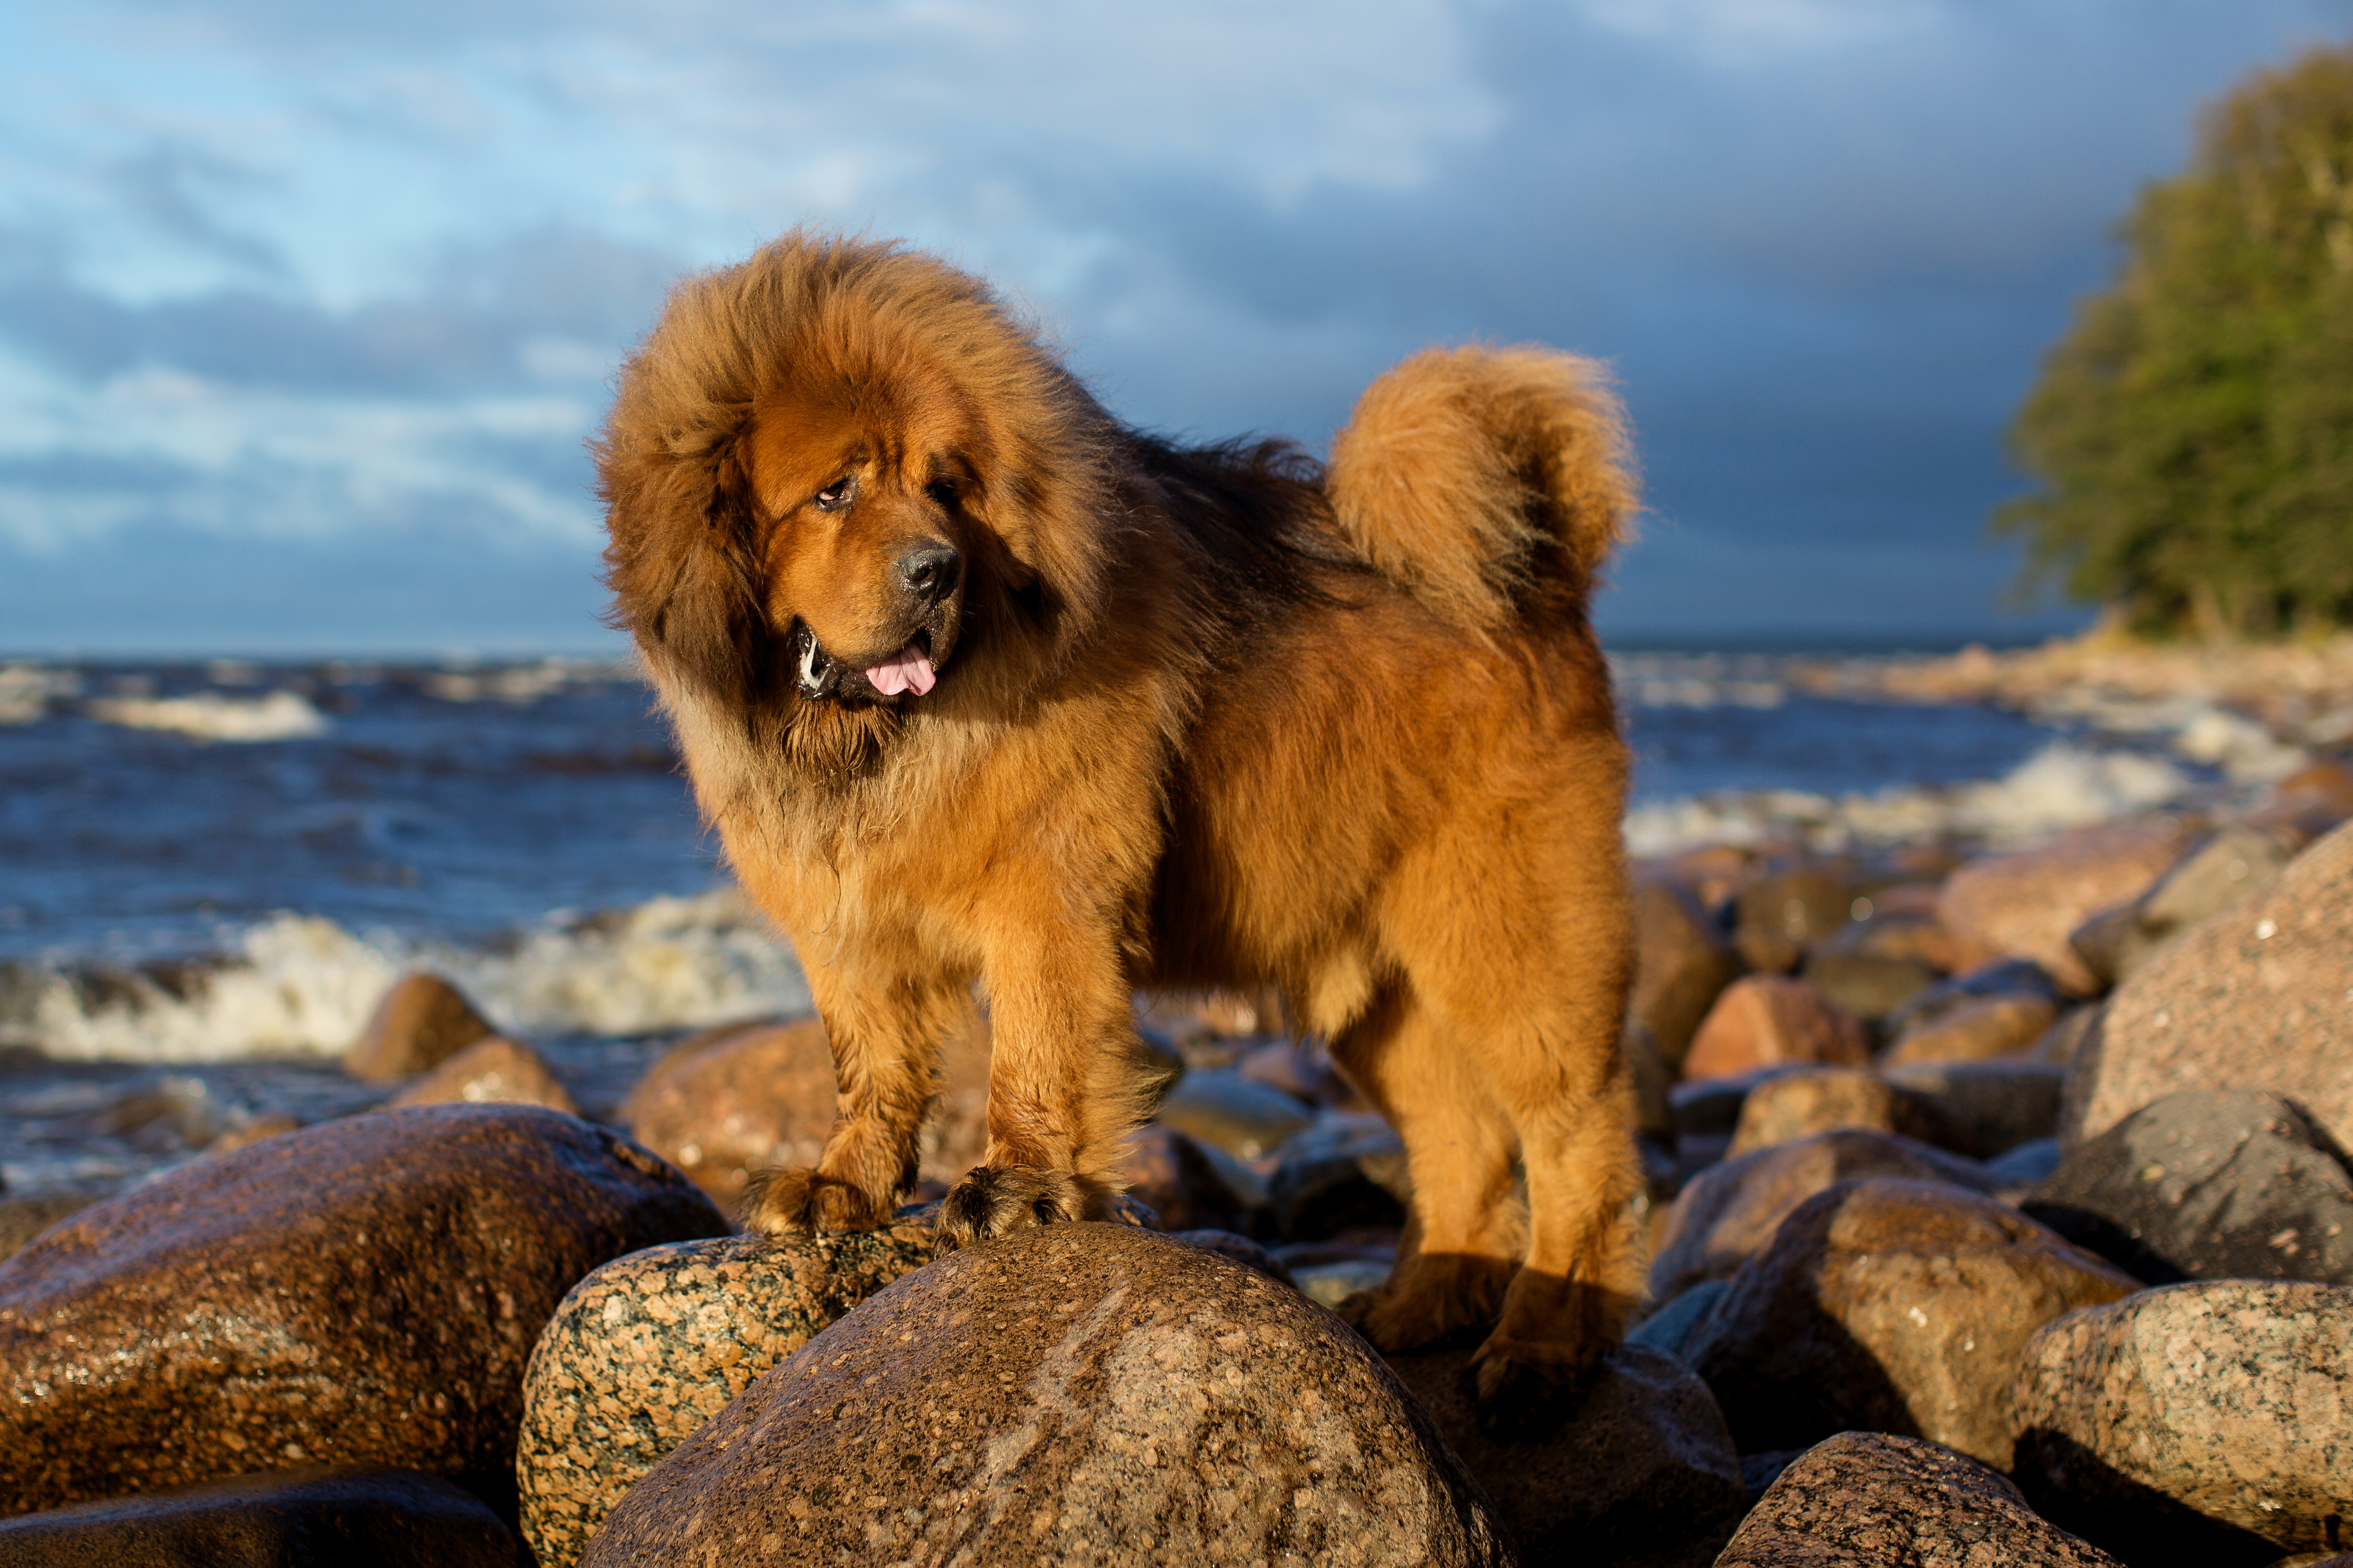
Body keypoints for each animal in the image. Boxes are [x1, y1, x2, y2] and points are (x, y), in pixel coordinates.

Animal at [597, 236, 1647, 1420]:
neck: (876, 745)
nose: (937, 570)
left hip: (1504, 939)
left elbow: (1036, 1051)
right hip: (1381, 990)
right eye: (833, 492)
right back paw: (1423, 1303)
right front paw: (844, 1183)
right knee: (1460, 1141)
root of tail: (1539, 573)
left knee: (1574, 1141)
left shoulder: (1044, 892)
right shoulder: (848, 921)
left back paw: (1543, 1341)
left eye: (944, 487)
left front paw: (1018, 1190)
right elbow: (869, 1062)